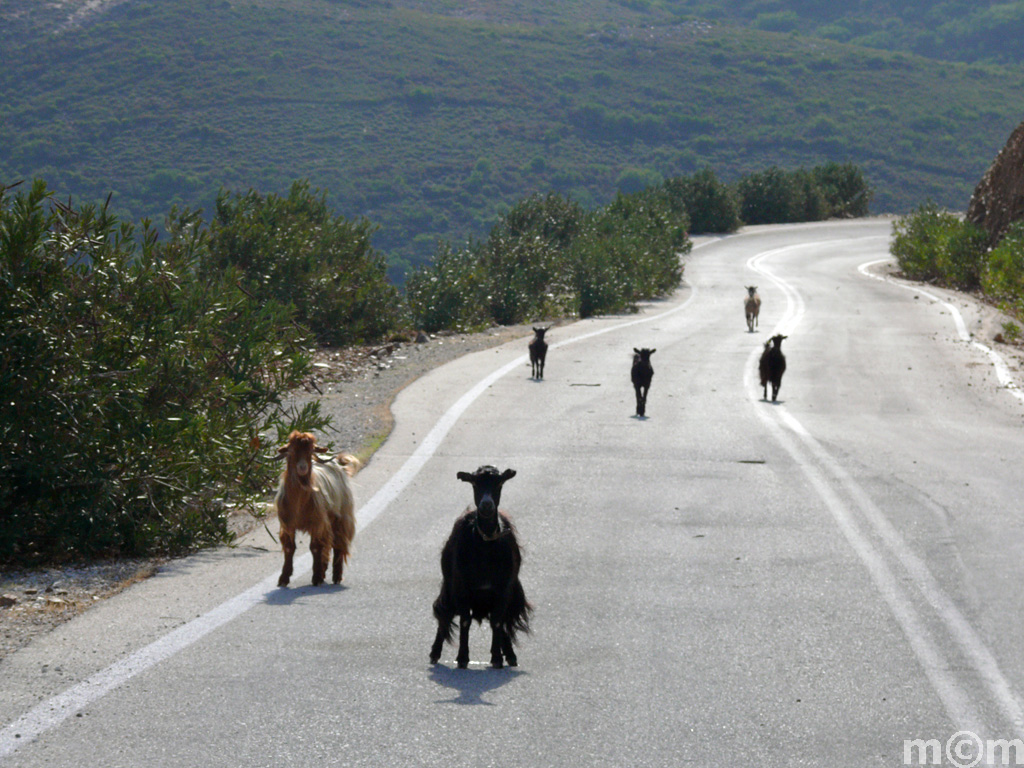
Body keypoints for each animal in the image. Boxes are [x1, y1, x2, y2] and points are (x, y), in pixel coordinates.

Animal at [272, 430, 360, 585]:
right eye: (291, 451)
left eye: (310, 451)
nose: (302, 467)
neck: (299, 505)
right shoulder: (287, 525)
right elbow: (289, 548)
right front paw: (284, 578)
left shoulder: (317, 523)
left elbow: (315, 547)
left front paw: (317, 577)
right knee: (328, 543)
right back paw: (324, 571)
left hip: (342, 516)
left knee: (338, 544)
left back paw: (336, 576)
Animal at [428, 466, 532, 671]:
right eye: (474, 483)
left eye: (499, 483)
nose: (486, 505)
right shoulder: (461, 588)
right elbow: (465, 621)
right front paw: (462, 658)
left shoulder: (503, 589)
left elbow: (498, 622)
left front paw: (497, 658)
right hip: (450, 588)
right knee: (444, 612)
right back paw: (435, 653)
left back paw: (509, 654)